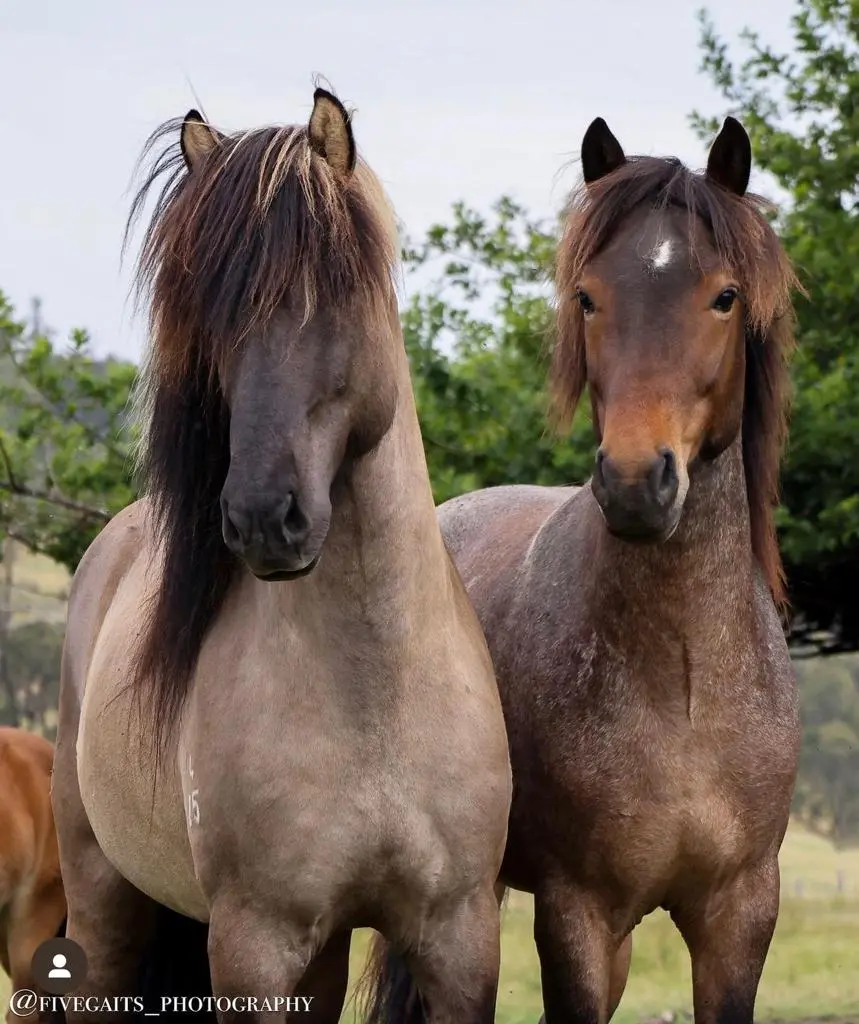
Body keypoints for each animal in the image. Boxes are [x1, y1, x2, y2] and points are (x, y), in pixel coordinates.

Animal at [51, 86, 511, 1024]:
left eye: (336, 292)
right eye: (215, 319)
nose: (264, 518)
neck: (374, 697)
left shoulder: (459, 936)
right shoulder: (254, 946)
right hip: (103, 904)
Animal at [363, 117, 802, 1024]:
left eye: (723, 296)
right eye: (588, 297)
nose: (636, 482)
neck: (684, 685)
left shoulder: (739, 916)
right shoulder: (578, 914)